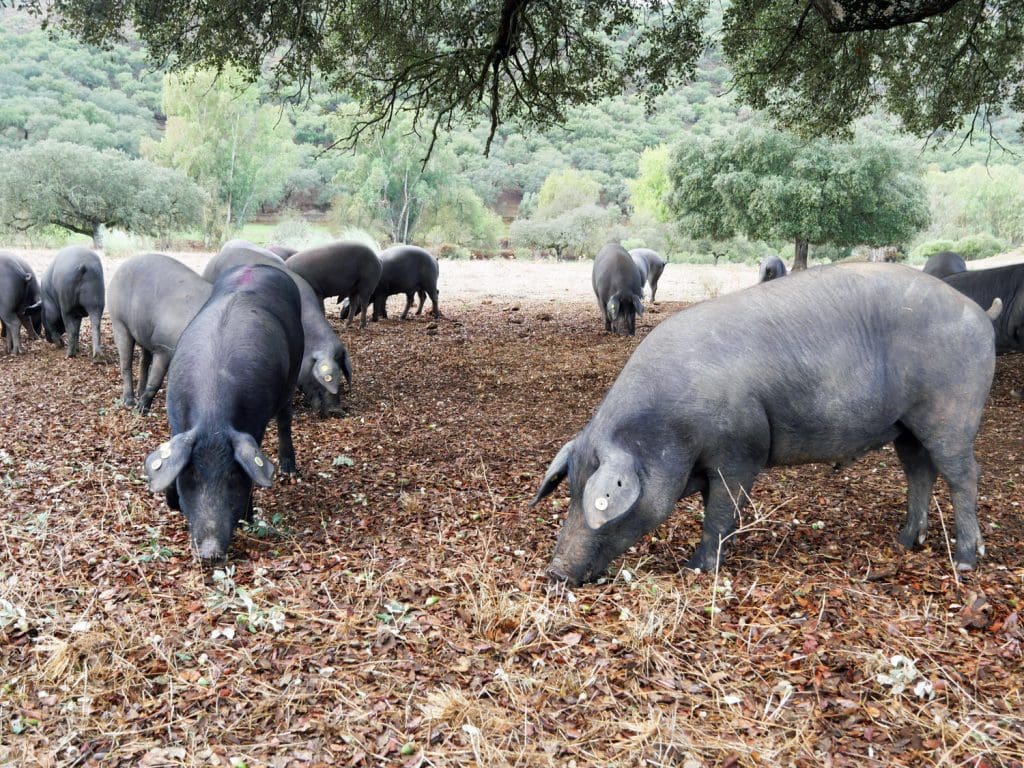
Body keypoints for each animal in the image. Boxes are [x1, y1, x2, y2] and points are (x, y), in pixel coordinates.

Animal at [108, 253, 213, 414]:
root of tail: (121, 266)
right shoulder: (164, 349)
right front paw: (142, 411)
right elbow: (156, 381)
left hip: (144, 333)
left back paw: (139, 393)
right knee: (126, 364)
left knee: (144, 362)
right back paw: (130, 403)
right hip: (119, 323)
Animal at [144, 264, 304, 560]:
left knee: (285, 419)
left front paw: (249, 518)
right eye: (191, 475)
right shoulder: (177, 420)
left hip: (294, 371)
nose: (210, 552)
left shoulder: (254, 425)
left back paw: (289, 469)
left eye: (233, 476)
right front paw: (172, 504)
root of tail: (257, 266)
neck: (213, 420)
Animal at [532, 263, 996, 584]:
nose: (555, 572)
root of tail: (980, 314)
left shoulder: (740, 452)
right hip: (907, 427)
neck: (668, 430)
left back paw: (965, 560)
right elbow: (719, 511)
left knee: (964, 475)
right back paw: (904, 541)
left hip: (952, 413)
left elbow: (720, 512)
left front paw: (696, 568)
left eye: (599, 504)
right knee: (920, 472)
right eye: (570, 491)